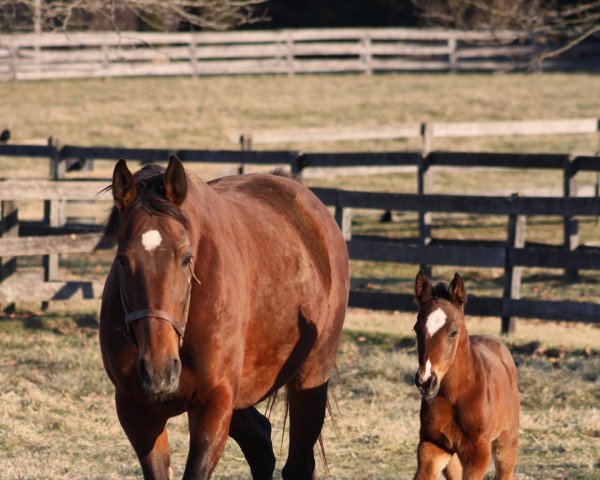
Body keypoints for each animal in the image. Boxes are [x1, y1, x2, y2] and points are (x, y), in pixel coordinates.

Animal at [412, 272, 520, 478]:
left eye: (453, 332)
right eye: (416, 329)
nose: (426, 381)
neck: (455, 395)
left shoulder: (477, 453)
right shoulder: (432, 446)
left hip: (507, 442)